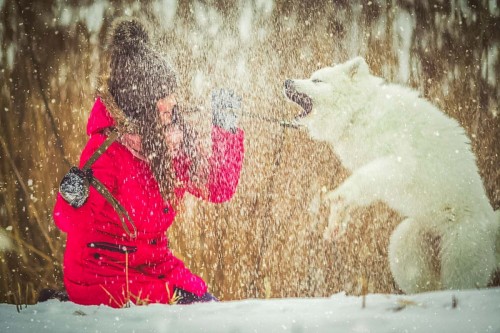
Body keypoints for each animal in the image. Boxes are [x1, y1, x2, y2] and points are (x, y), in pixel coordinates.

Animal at [286, 57, 500, 294]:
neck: (358, 113)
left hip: (459, 251)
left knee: (460, 284)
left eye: (317, 80)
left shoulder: (398, 160)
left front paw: (338, 195)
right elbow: (359, 192)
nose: (286, 81)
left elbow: (362, 179)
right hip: (404, 244)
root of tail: (491, 225)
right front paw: (335, 223)